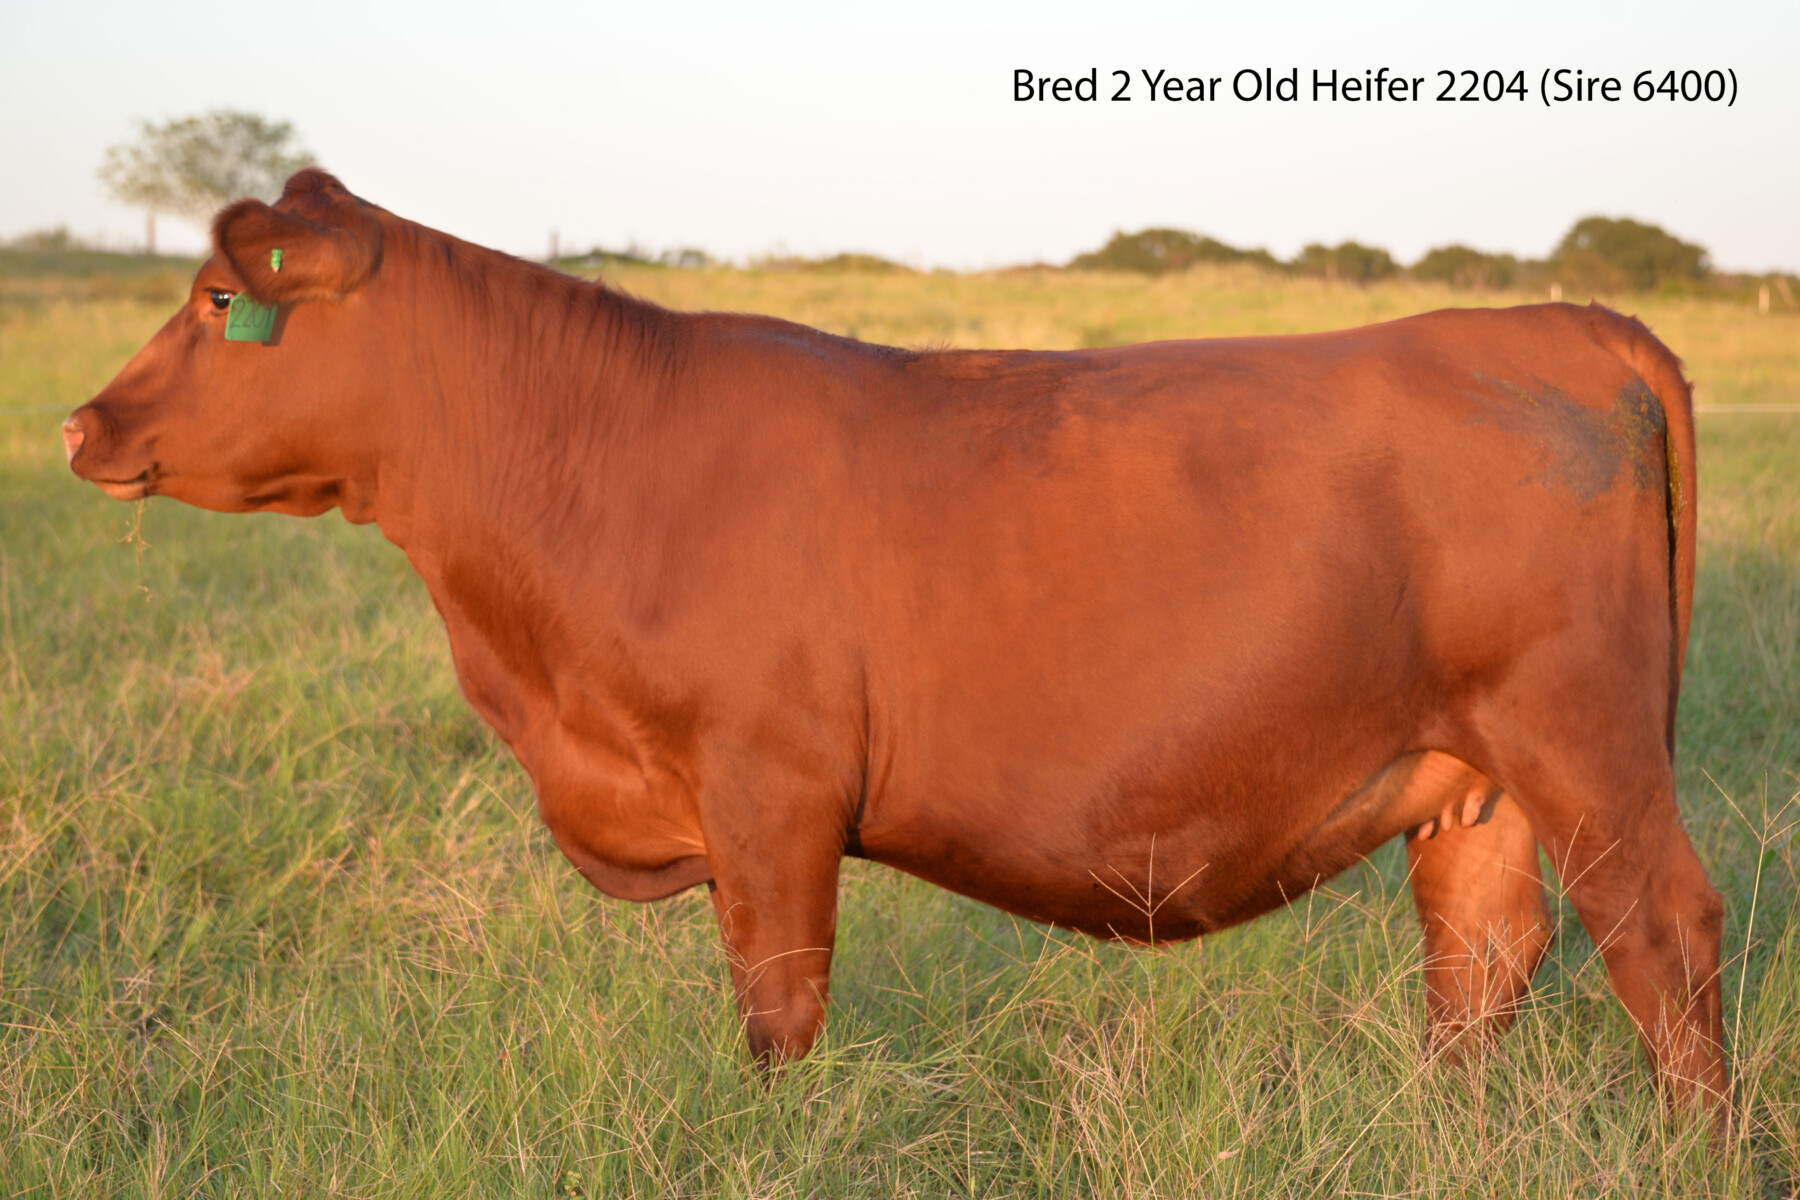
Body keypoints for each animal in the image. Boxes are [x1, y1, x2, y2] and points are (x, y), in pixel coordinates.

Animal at [64, 169, 1726, 1113]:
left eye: (214, 298)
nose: (79, 424)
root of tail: (1561, 322)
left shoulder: (770, 792)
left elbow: (777, 1017)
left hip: (1587, 741)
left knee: (1663, 942)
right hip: (1476, 773)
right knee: (1482, 959)